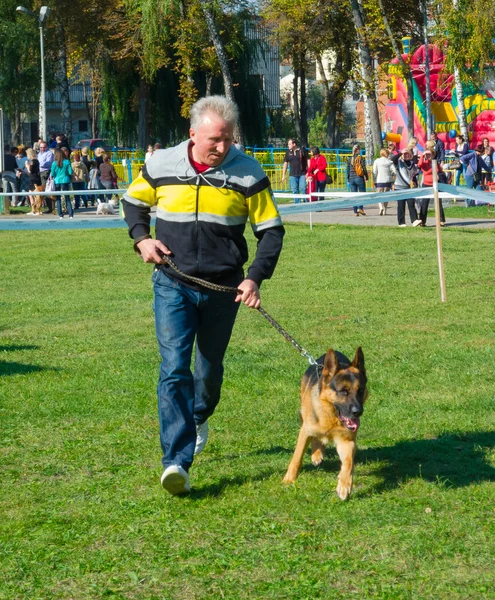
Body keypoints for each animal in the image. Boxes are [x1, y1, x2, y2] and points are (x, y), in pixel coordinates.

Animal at [282, 350, 368, 500]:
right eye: (343, 391)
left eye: (361, 390)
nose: (358, 412)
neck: (331, 416)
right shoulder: (305, 431)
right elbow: (297, 457)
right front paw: (289, 479)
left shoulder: (347, 441)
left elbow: (348, 463)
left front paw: (344, 485)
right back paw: (316, 454)